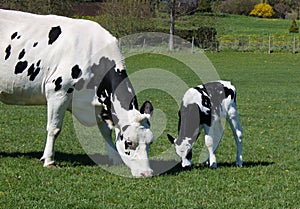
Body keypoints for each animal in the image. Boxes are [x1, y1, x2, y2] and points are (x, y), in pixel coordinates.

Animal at [0, 9, 155, 177]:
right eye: (129, 142)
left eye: (150, 142)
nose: (147, 173)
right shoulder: (58, 91)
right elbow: (54, 129)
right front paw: (49, 161)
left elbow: (106, 131)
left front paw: (115, 158)